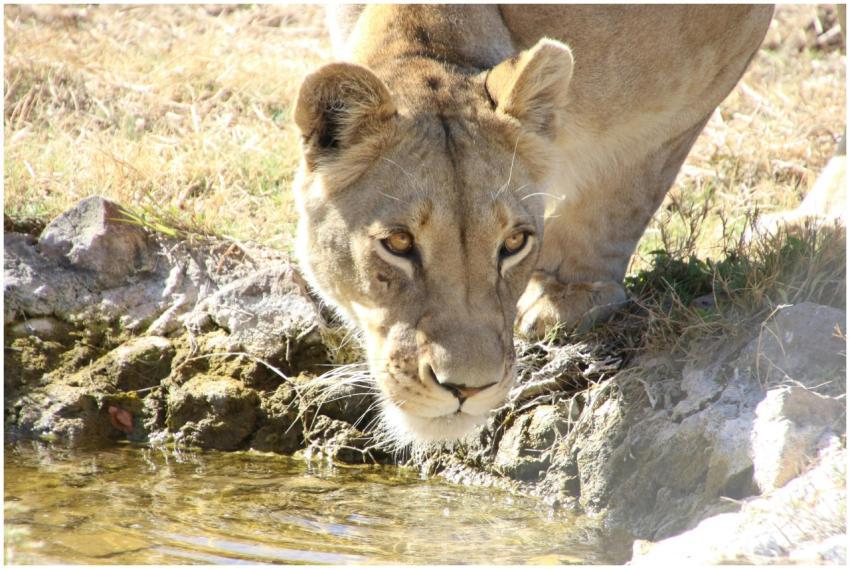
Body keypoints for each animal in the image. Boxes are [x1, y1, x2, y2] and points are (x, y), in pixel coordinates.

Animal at [291, 5, 774, 443]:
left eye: (514, 243)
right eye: (398, 243)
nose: (467, 388)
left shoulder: (711, 63)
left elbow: (624, 190)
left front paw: (564, 297)